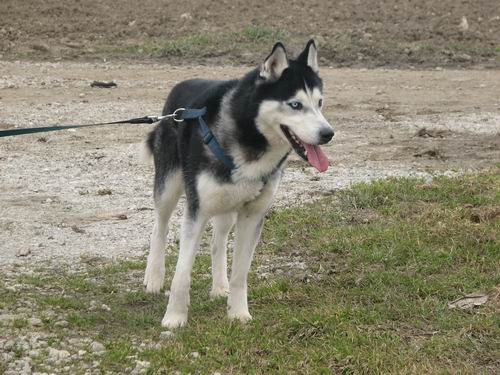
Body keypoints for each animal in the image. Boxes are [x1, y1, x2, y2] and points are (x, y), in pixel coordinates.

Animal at [143, 40, 334, 328]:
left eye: (320, 103)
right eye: (295, 104)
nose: (328, 134)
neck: (251, 139)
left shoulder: (252, 215)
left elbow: (240, 273)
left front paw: (238, 313)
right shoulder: (197, 211)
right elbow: (182, 272)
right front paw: (174, 317)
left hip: (227, 205)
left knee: (218, 241)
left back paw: (219, 286)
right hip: (169, 187)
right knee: (160, 227)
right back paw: (153, 278)